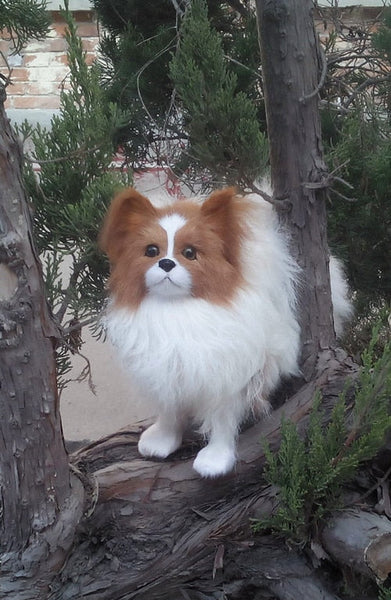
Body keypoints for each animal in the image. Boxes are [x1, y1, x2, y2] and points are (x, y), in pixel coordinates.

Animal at [100, 188, 352, 478]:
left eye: (189, 253)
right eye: (151, 250)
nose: (166, 263)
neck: (177, 308)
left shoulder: (227, 378)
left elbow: (222, 421)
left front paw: (215, 459)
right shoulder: (167, 371)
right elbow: (170, 411)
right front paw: (162, 441)